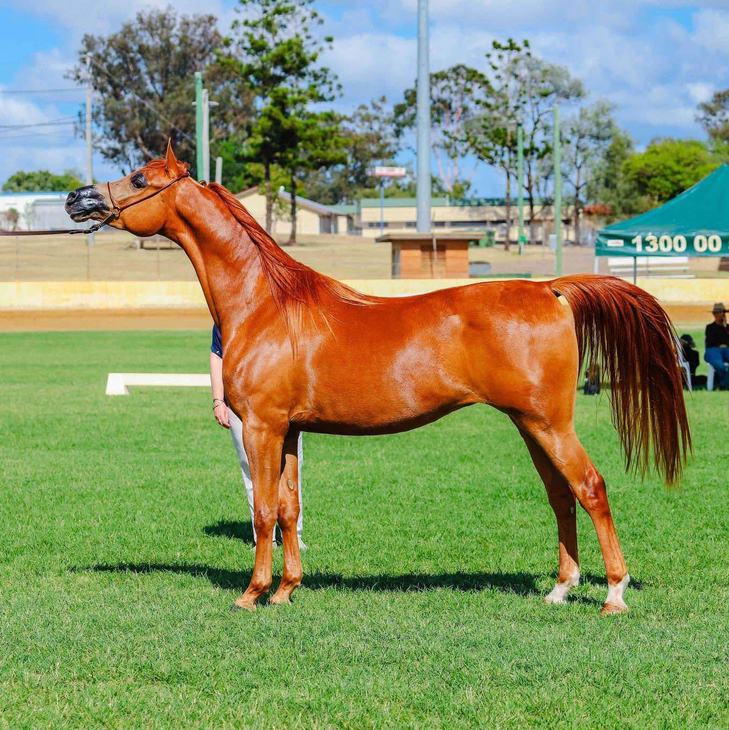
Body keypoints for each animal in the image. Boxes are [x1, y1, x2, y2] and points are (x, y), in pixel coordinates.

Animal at [65, 142, 691, 614]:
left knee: (590, 488)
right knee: (561, 496)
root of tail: (549, 289)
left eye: (139, 176)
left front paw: (252, 594)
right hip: (529, 424)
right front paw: (287, 592)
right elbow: (289, 509)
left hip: (549, 423)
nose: (76, 198)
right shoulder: (289, 431)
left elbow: (263, 511)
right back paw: (560, 590)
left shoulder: (262, 427)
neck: (266, 303)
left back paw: (613, 594)